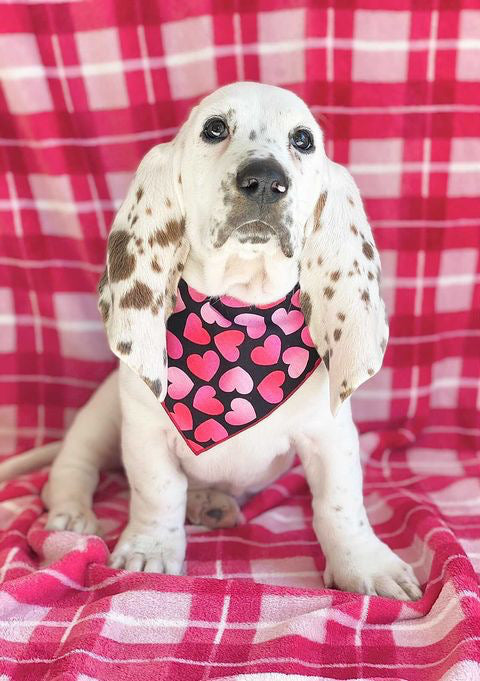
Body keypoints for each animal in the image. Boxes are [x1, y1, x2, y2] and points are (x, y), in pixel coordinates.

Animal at [0, 82, 420, 596]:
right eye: (215, 129)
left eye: (303, 140)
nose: (265, 180)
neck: (240, 309)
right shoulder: (145, 433)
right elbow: (159, 492)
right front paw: (149, 551)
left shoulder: (330, 436)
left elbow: (340, 505)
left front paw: (365, 565)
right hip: (99, 417)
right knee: (71, 466)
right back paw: (73, 514)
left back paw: (210, 503)